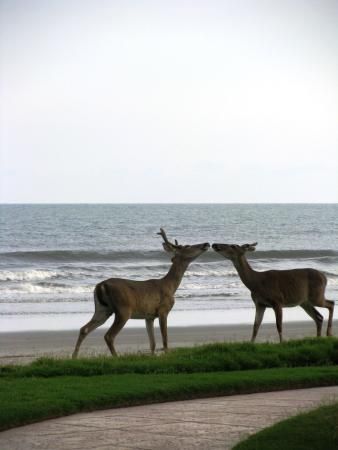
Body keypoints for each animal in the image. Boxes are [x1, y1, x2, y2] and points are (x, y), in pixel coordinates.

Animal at [72, 230, 209, 356]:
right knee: (109, 335)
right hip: (123, 309)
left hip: (103, 309)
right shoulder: (163, 310)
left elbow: (152, 343)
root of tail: (101, 285)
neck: (170, 286)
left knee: (84, 329)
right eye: (187, 246)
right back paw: (116, 357)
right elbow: (165, 339)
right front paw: (166, 354)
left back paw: (74, 357)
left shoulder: (149, 316)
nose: (206, 243)